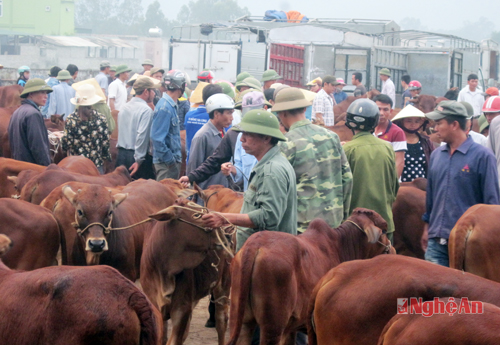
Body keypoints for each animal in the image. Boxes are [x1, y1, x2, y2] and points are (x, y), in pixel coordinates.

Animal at [227, 207, 394, 344]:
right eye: (384, 230)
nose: (392, 250)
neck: (341, 245)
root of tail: (254, 245)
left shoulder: (292, 328)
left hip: (243, 321)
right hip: (272, 326)